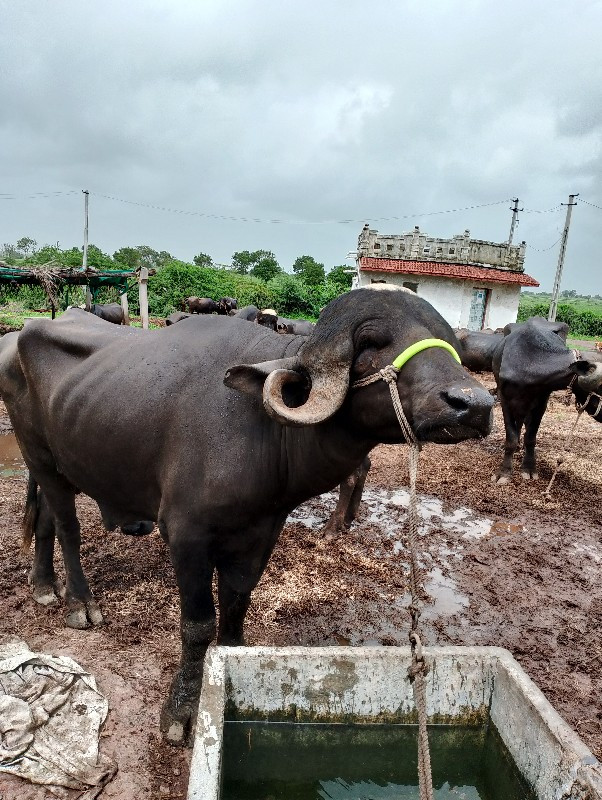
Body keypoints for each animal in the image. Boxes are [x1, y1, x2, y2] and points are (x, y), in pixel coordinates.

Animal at [0, 286, 492, 744]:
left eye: (450, 343)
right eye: (372, 341)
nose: (474, 405)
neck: (264, 431)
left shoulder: (260, 536)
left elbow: (235, 612)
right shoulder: (186, 536)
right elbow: (198, 625)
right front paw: (181, 711)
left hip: (56, 465)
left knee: (44, 520)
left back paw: (43, 585)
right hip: (39, 456)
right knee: (67, 527)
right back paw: (79, 603)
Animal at [492, 318, 600, 482]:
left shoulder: (541, 403)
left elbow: (531, 437)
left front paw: (529, 468)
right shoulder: (504, 398)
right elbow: (511, 437)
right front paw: (504, 473)